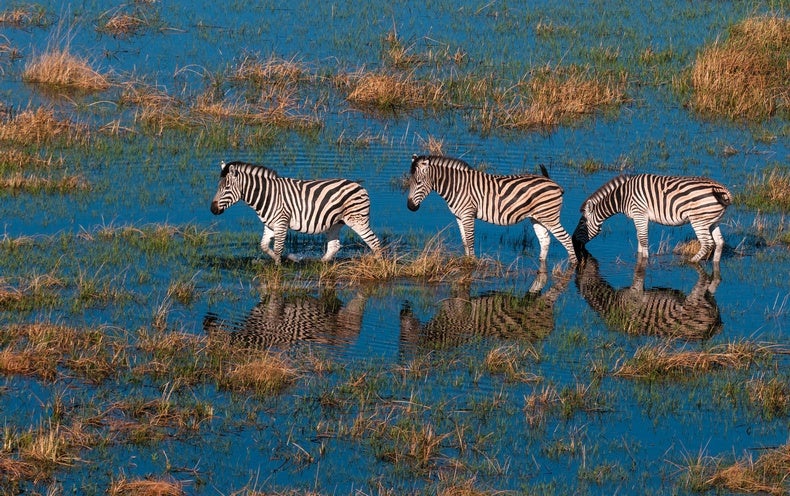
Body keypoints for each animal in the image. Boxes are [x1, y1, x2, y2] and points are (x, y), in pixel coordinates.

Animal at [210, 162, 384, 264]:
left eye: (226, 188)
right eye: (218, 187)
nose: (212, 209)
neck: (267, 195)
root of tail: (359, 185)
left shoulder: (281, 223)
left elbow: (278, 248)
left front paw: (277, 269)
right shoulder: (270, 225)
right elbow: (264, 246)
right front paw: (285, 259)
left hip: (358, 220)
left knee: (375, 243)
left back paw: (378, 265)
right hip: (335, 223)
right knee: (334, 246)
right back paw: (320, 264)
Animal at [408, 154, 580, 264]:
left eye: (418, 182)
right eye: (408, 181)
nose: (410, 207)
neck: (456, 186)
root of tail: (555, 184)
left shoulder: (468, 214)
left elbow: (470, 240)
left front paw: (472, 263)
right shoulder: (458, 216)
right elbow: (464, 242)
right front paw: (467, 260)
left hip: (550, 217)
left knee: (566, 238)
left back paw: (574, 265)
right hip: (537, 218)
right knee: (545, 240)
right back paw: (541, 263)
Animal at [572, 173, 732, 264]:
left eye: (581, 223)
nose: (573, 242)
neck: (623, 196)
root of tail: (724, 190)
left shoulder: (639, 213)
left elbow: (643, 238)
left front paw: (645, 259)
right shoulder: (639, 217)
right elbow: (639, 237)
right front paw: (638, 255)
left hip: (699, 220)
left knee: (707, 243)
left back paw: (690, 262)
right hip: (713, 220)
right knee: (719, 242)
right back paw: (715, 265)